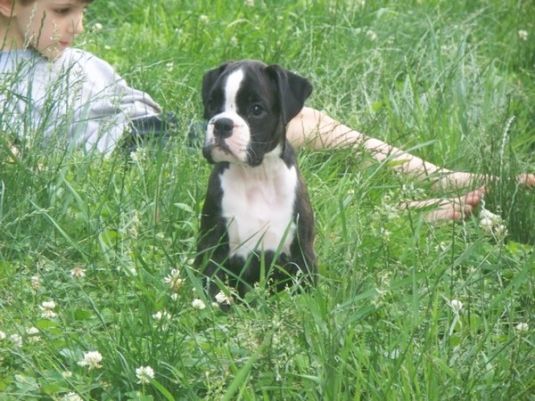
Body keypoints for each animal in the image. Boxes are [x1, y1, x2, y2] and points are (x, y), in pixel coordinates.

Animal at [198, 60, 318, 300]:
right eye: (212, 104)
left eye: (256, 109)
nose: (222, 123)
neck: (256, 175)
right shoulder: (213, 247)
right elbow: (214, 288)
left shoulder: (302, 255)